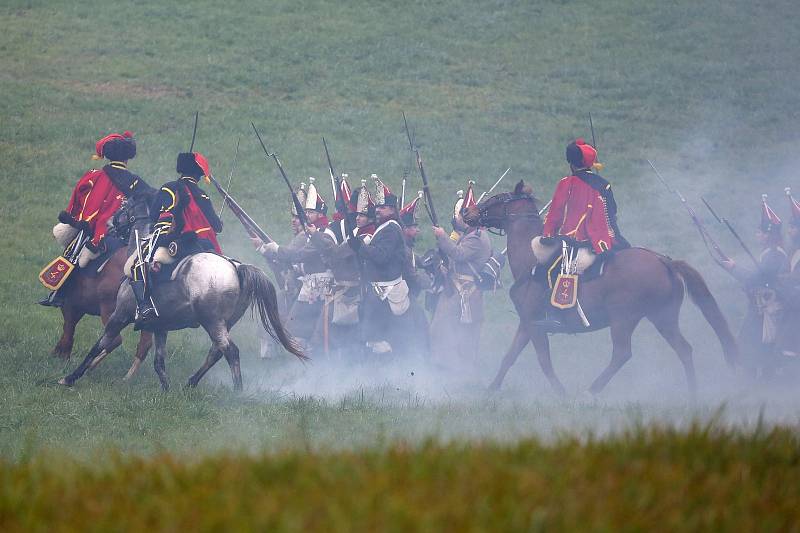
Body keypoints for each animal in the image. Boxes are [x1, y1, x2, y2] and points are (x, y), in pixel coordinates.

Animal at [57, 206, 306, 388]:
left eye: (124, 208)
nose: (107, 225)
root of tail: (236, 268)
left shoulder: (119, 316)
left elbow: (99, 345)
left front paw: (69, 377)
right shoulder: (159, 327)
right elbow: (158, 361)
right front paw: (166, 389)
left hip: (212, 322)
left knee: (230, 351)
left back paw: (237, 391)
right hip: (224, 323)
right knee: (216, 352)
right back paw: (191, 383)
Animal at [466, 181, 740, 396]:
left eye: (497, 198)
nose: (468, 214)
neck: (532, 258)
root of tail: (664, 261)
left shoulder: (534, 323)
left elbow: (544, 361)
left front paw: (561, 393)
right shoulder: (527, 323)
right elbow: (509, 357)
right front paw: (490, 390)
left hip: (623, 318)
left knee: (622, 353)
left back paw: (592, 390)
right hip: (662, 317)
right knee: (683, 349)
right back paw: (693, 393)